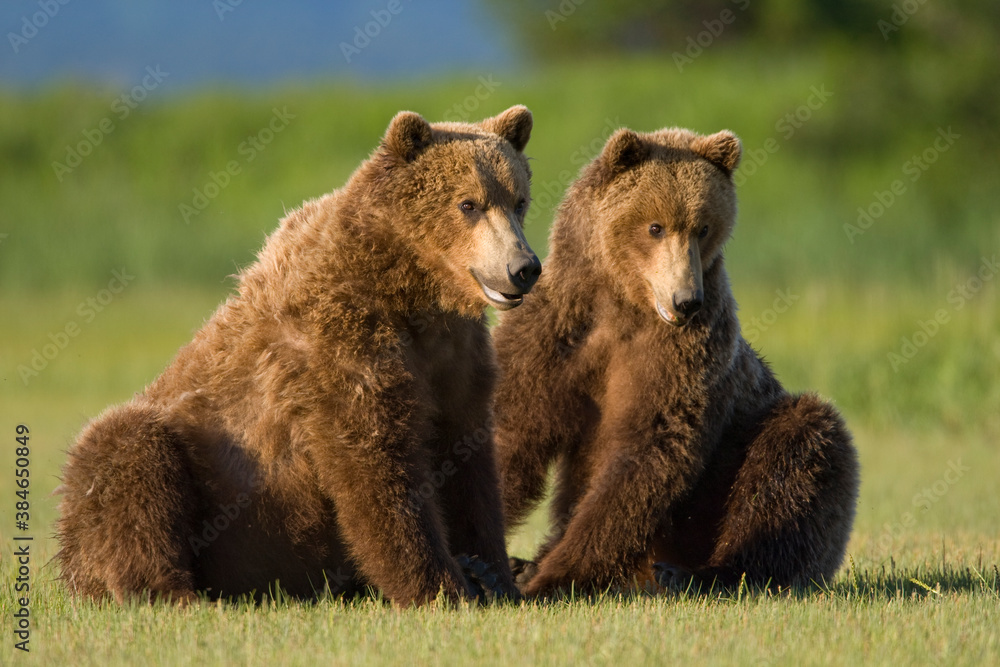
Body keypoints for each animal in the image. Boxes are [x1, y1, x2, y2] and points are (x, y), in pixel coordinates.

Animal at [56, 105, 542, 606]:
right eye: (468, 204)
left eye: (518, 200)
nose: (523, 267)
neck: (412, 290)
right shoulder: (339, 338)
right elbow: (375, 460)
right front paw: (443, 585)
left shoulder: (454, 356)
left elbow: (466, 461)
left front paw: (492, 572)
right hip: (177, 462)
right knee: (125, 460)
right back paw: (178, 592)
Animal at [493, 126, 859, 596]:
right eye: (655, 226)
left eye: (702, 227)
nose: (686, 300)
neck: (625, 306)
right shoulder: (555, 333)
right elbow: (512, 427)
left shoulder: (687, 356)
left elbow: (648, 451)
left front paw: (557, 578)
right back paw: (526, 563)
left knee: (799, 453)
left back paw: (693, 574)